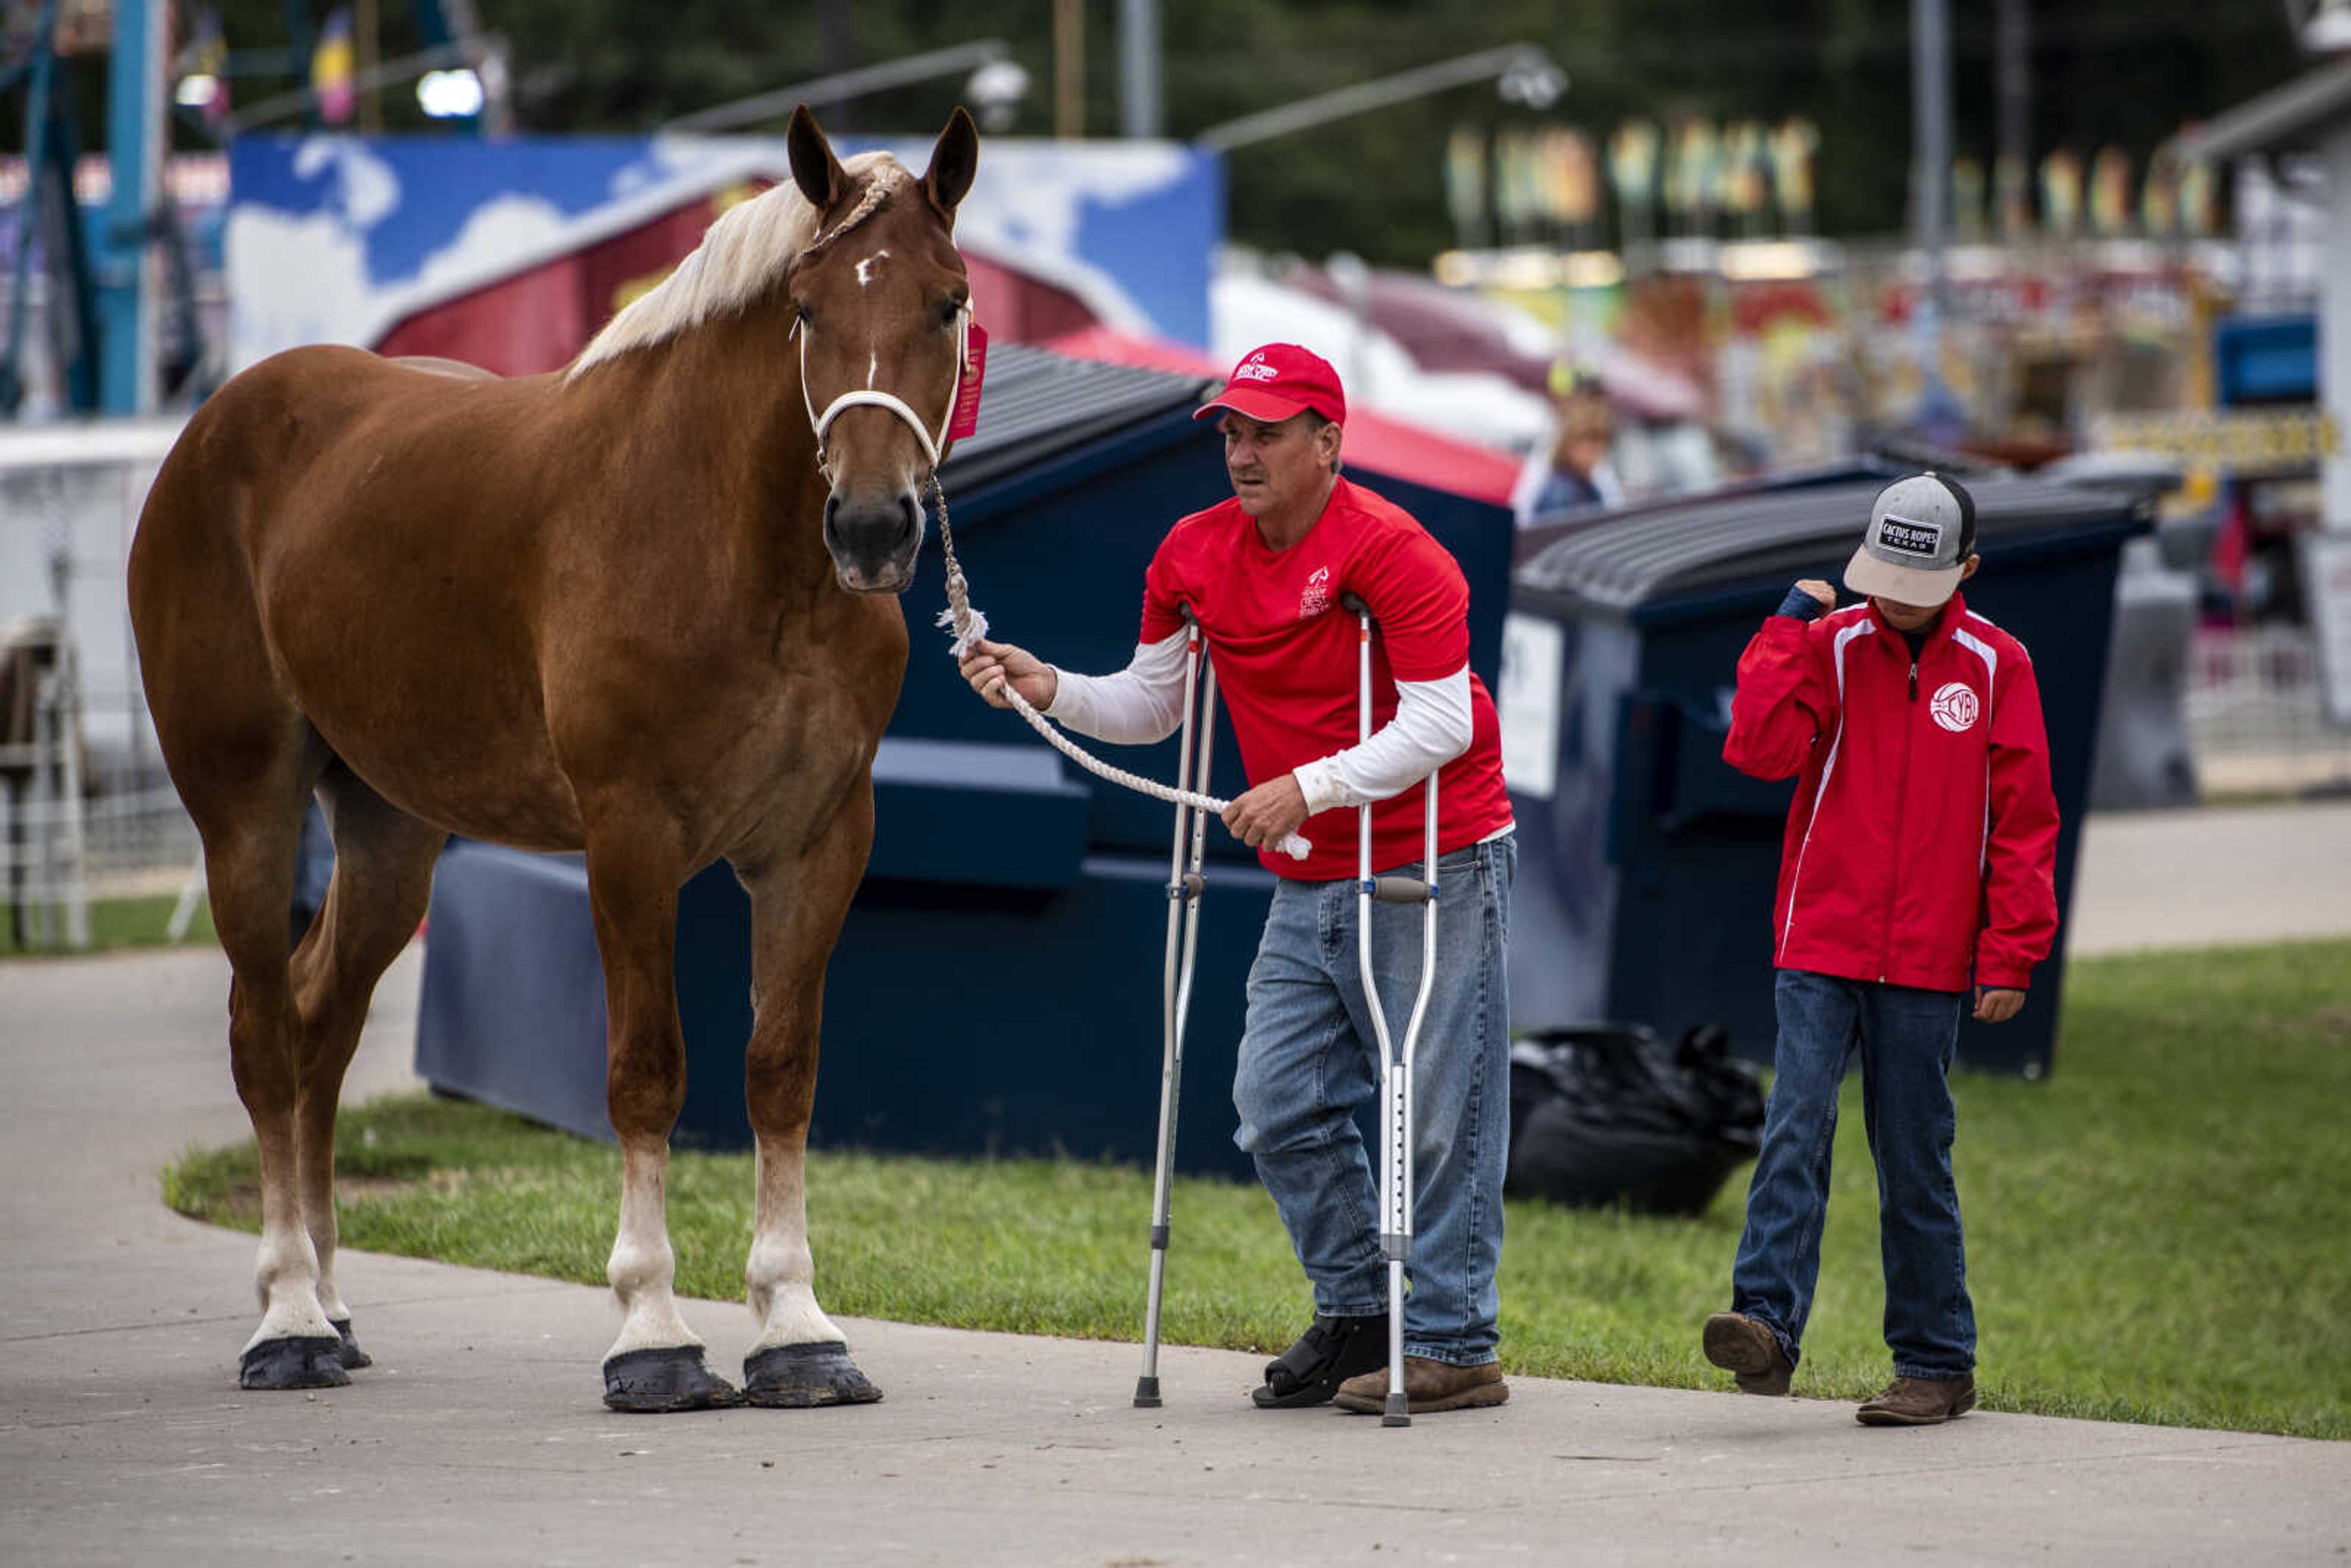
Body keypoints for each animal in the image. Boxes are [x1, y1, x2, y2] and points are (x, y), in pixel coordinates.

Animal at [131, 107, 973, 1410]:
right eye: (803, 307)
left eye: (948, 302)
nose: (875, 527)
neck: (732, 546)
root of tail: (213, 429)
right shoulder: (629, 843)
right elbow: (646, 1070)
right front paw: (653, 1334)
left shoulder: (819, 844)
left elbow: (781, 1068)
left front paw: (796, 1330)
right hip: (247, 812)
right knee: (266, 1039)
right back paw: (287, 1319)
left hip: (389, 833)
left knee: (321, 1024)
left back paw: (332, 1303)